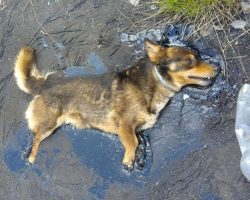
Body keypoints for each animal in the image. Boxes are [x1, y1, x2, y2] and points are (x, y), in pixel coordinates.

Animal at [14, 38, 219, 170]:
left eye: (198, 57)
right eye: (190, 61)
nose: (218, 68)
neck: (152, 84)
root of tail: (45, 83)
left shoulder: (138, 129)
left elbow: (138, 141)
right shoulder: (124, 125)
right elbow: (133, 143)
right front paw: (129, 160)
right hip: (48, 125)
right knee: (35, 139)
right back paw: (31, 157)